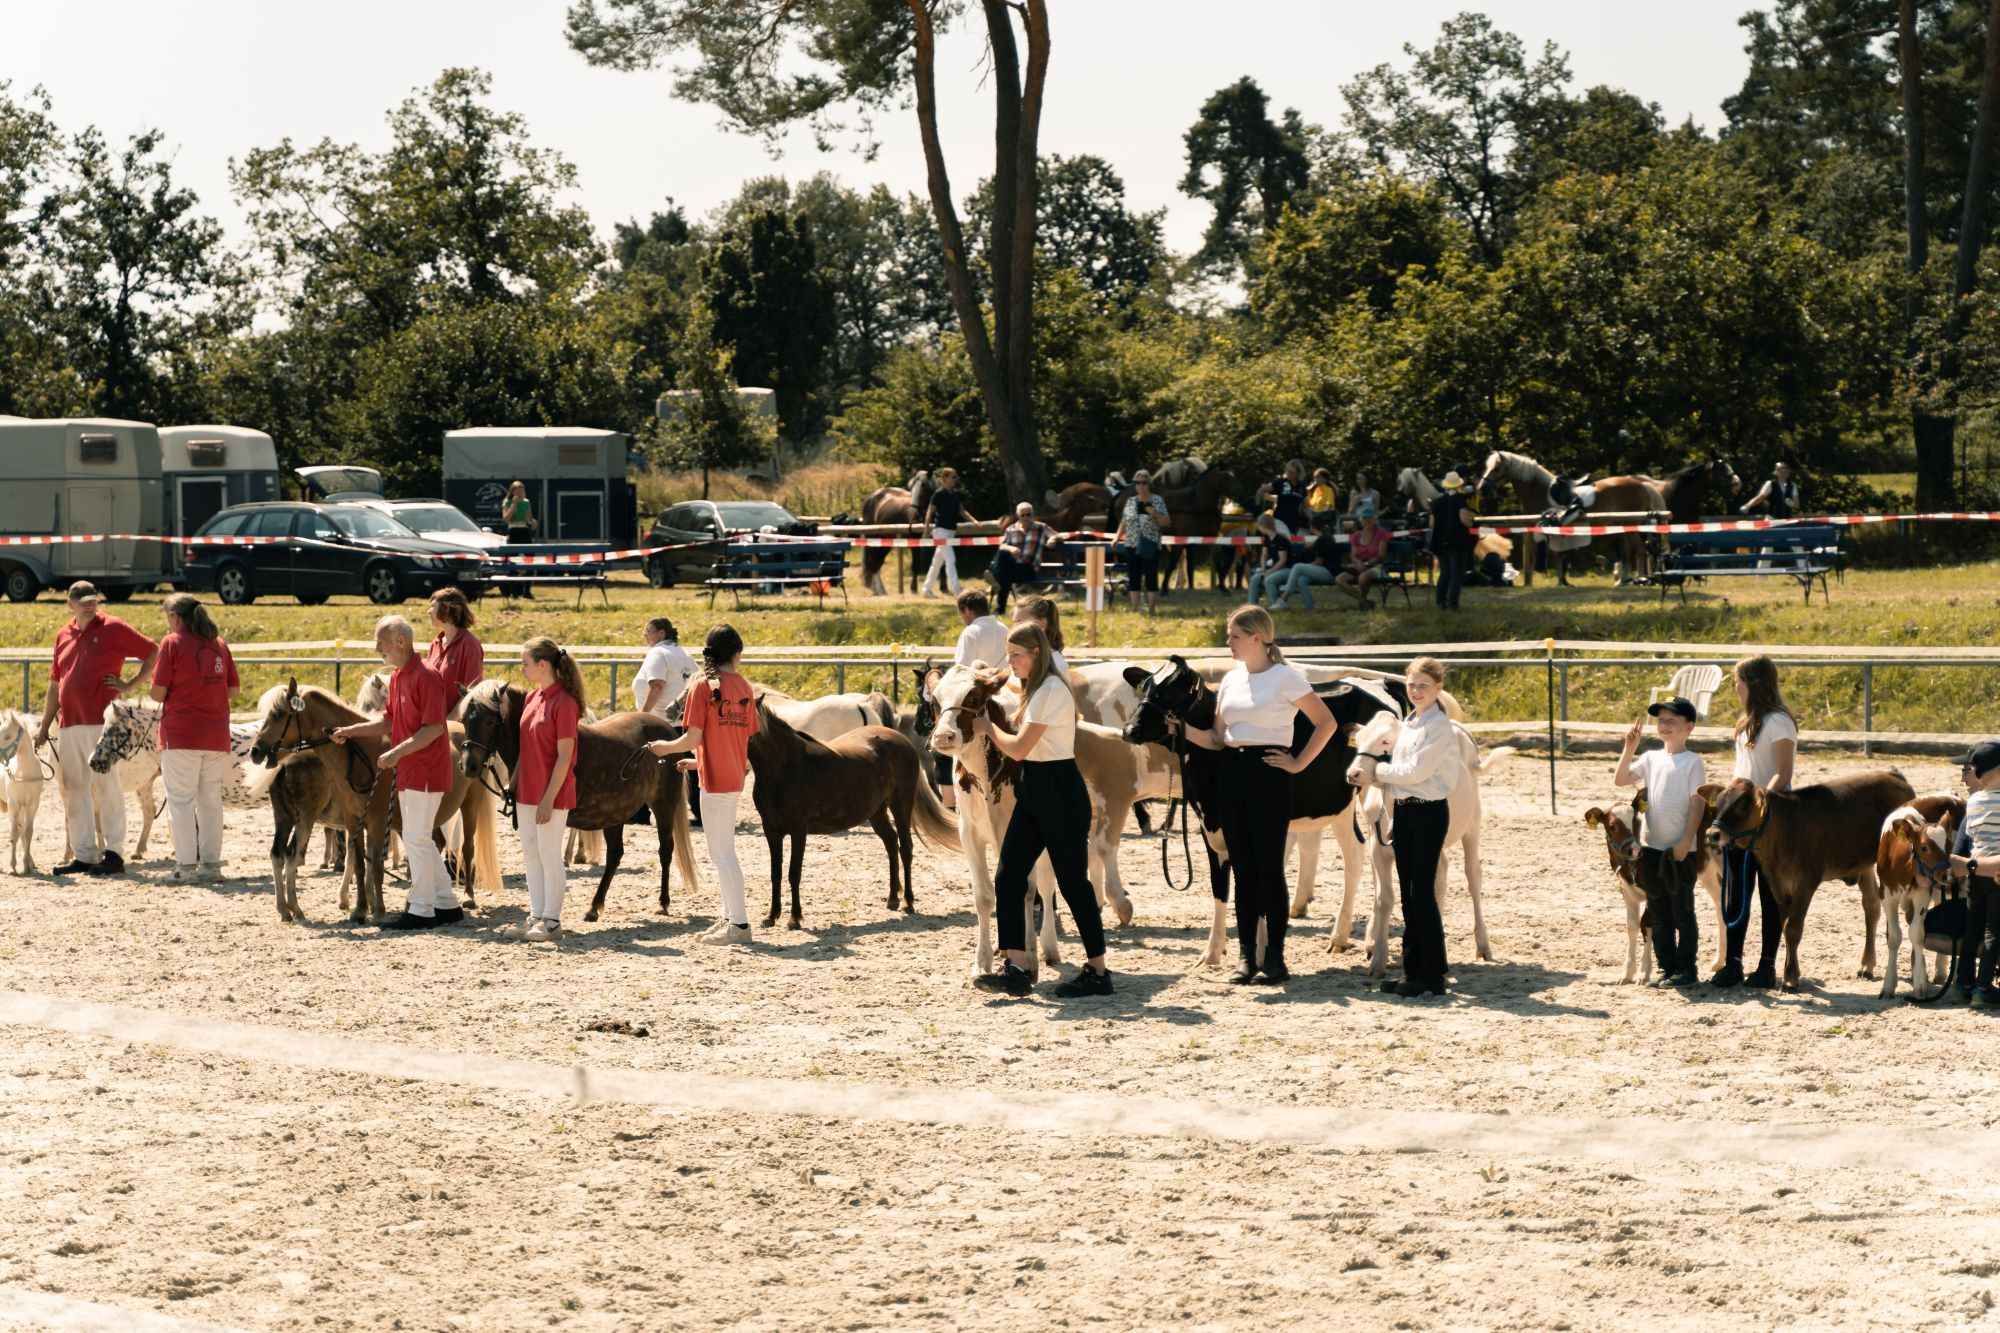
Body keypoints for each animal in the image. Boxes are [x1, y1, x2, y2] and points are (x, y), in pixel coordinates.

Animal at [455, 679, 698, 923]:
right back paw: (594, 907)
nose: (469, 766)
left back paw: (662, 903)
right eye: (463, 719)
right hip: (616, 812)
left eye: (490, 720)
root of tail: (667, 733)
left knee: (665, 850)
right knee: (614, 856)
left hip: (663, 806)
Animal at [746, 696, 960, 928]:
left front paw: (794, 918)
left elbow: (794, 873)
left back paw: (907, 902)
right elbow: (775, 872)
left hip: (901, 804)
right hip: (877, 812)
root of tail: (902, 740)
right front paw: (771, 916)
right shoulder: (771, 830)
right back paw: (892, 898)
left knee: (905, 848)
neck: (784, 768)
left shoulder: (798, 830)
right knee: (891, 843)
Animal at [1475, 450, 1664, 585]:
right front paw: (1562, 581)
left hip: (1630, 522)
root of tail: (1643, 485)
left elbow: (1554, 556)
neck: (1539, 491)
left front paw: (1561, 582)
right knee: (1640, 550)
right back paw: (1638, 579)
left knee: (1634, 551)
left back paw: (1627, 580)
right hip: (1632, 523)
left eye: (1496, 469)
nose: (1481, 489)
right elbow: (1556, 556)